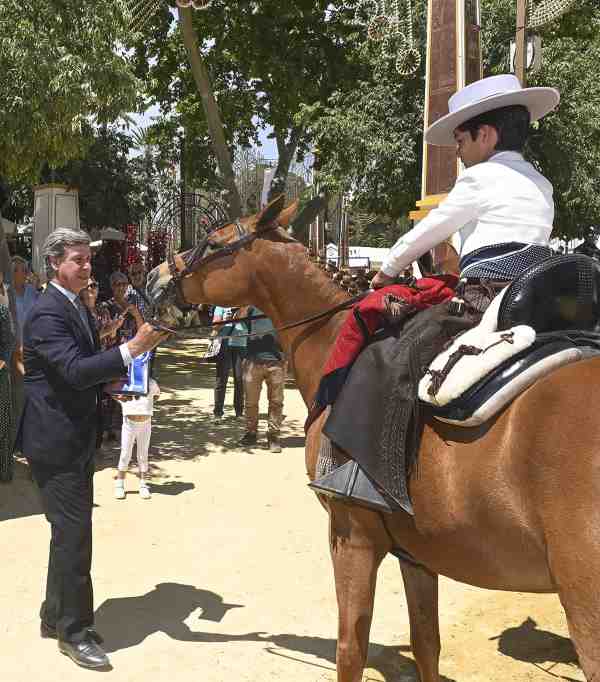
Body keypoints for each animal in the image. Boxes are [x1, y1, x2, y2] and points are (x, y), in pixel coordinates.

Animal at [148, 193, 600, 680]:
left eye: (213, 242)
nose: (156, 276)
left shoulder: (351, 536)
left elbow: (351, 649)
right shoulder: (418, 553)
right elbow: (426, 643)